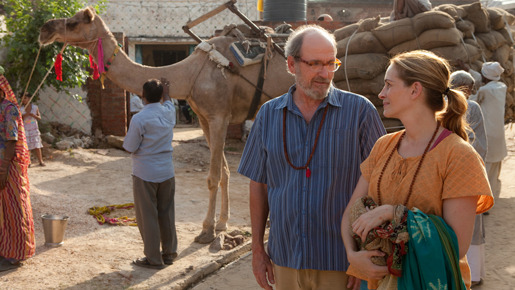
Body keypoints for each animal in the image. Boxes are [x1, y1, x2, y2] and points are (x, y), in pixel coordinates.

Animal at [39, 6, 294, 244]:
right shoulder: (205, 117)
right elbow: (224, 171)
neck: (190, 76)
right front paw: (222, 224)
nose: (44, 29)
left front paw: (206, 231)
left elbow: (212, 177)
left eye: (74, 23)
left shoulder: (219, 116)